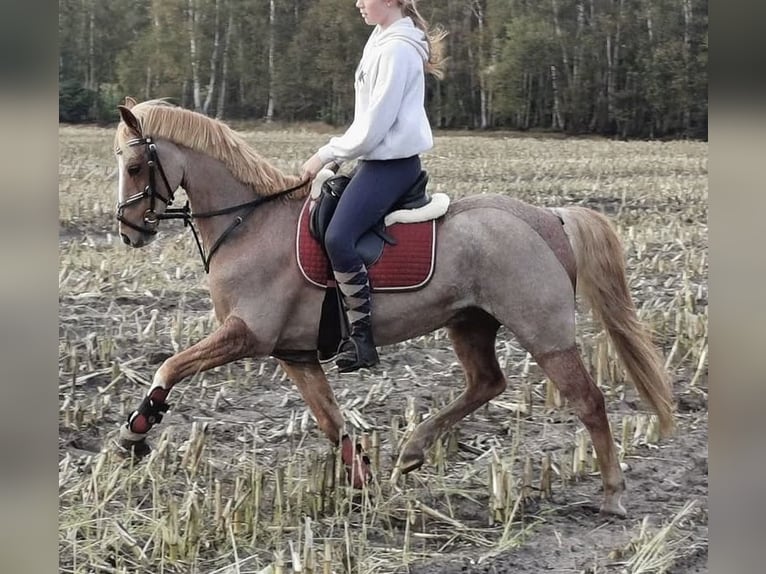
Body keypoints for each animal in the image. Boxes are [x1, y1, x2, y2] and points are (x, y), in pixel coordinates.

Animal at [112, 97, 674, 518]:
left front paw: (137, 429)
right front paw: (363, 483)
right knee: (487, 383)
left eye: (136, 165)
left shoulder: (247, 334)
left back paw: (612, 495)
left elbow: (171, 366)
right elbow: (332, 421)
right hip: (469, 323)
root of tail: (546, 217)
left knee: (588, 401)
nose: (129, 232)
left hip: (545, 334)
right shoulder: (295, 354)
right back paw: (412, 450)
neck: (248, 222)